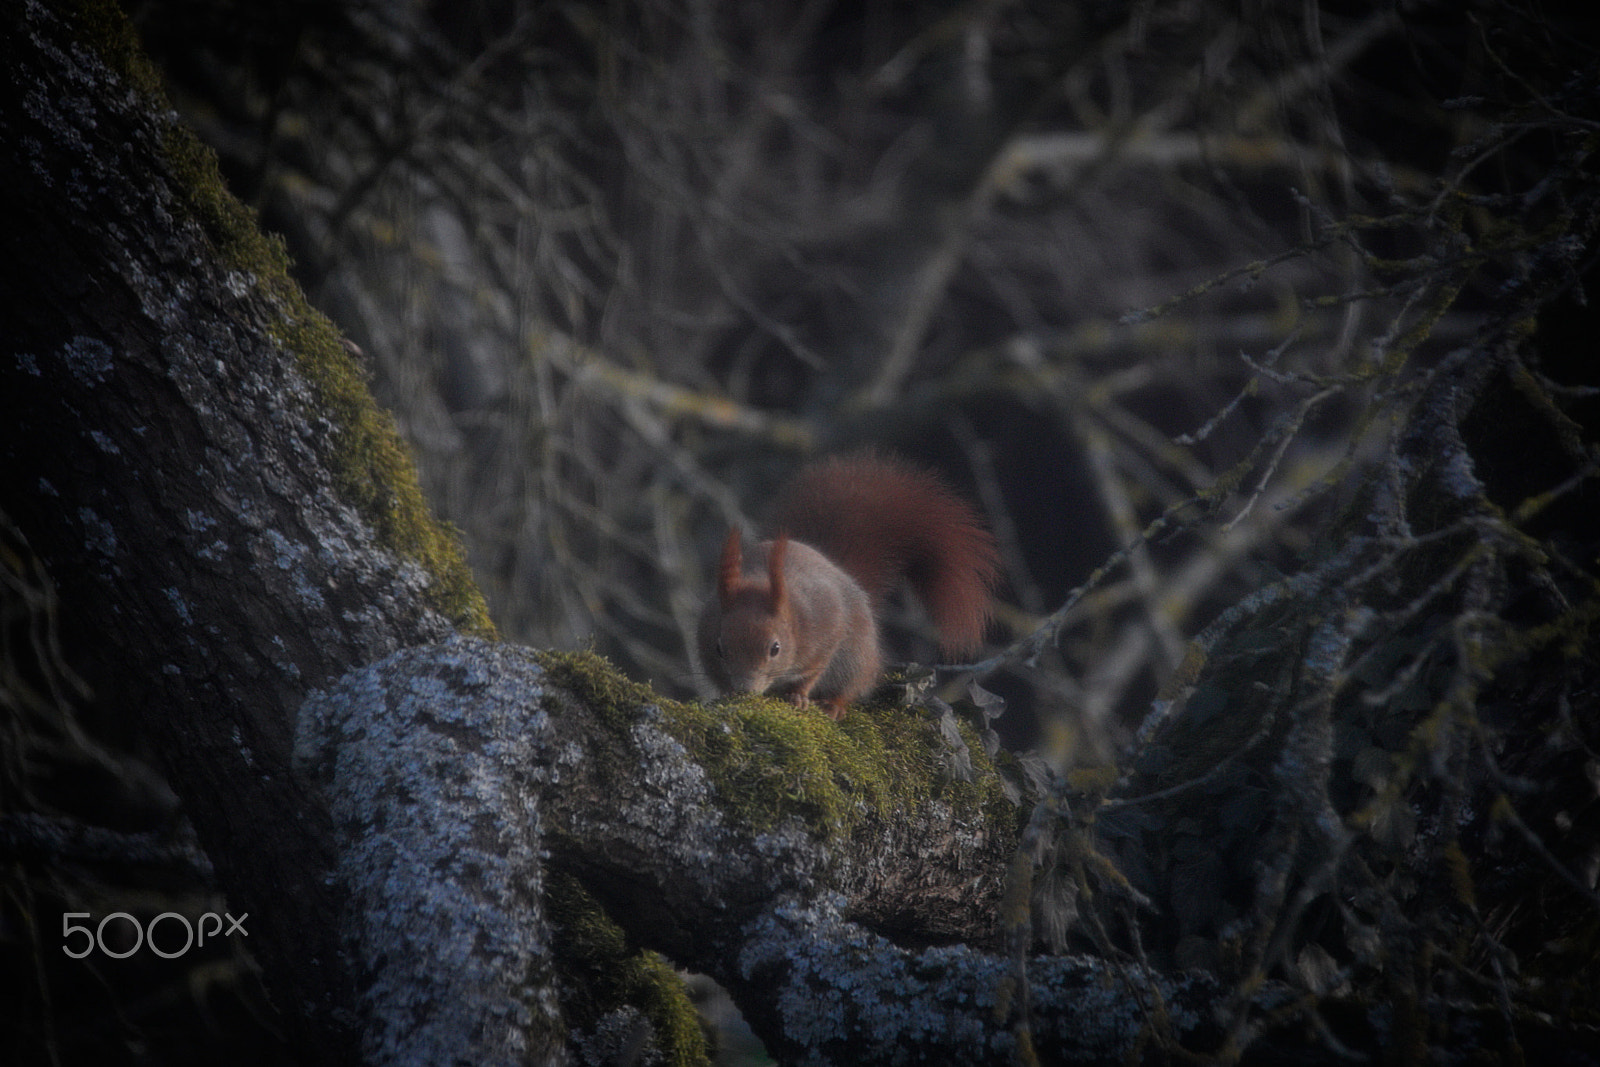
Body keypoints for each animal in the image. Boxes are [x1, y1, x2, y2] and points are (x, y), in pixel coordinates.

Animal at [697, 451, 1000, 719]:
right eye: (719, 648)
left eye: (775, 648)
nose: (745, 690)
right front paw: (727, 693)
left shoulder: (825, 632)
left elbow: (813, 671)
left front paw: (798, 696)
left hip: (854, 659)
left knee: (850, 686)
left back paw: (833, 705)